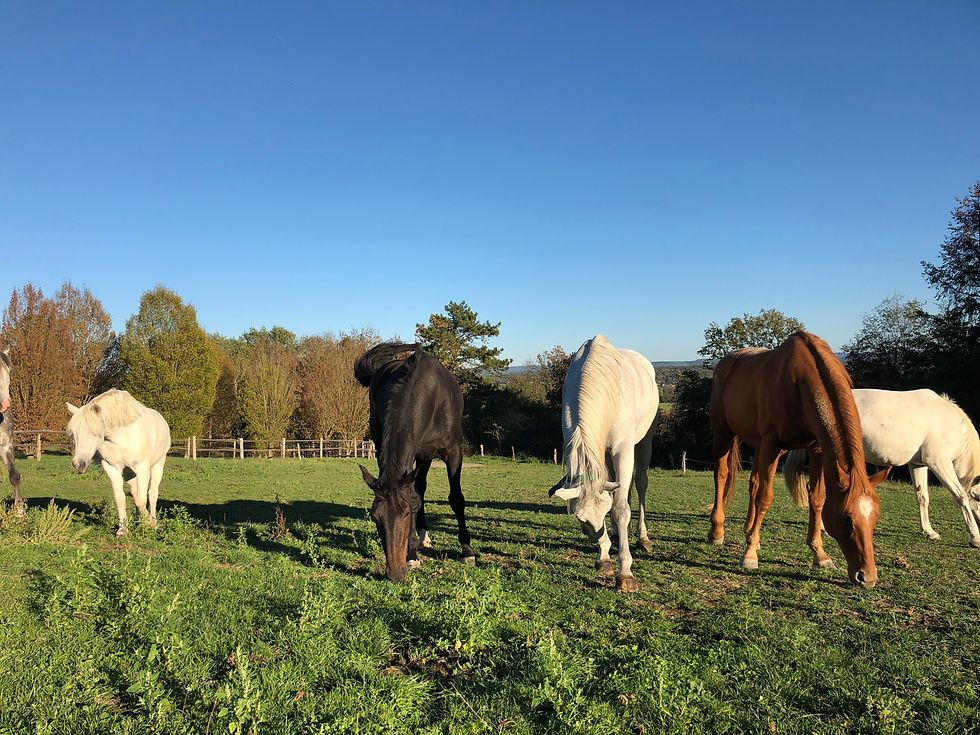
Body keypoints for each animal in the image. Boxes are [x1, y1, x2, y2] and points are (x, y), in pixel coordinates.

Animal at [66, 389, 171, 536]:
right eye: (73, 433)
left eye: (95, 433)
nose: (78, 464)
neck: (121, 435)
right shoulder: (112, 468)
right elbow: (121, 498)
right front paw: (123, 530)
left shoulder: (142, 468)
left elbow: (141, 499)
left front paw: (148, 523)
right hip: (128, 472)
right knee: (135, 492)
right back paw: (138, 522)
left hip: (158, 464)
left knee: (152, 493)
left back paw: (152, 522)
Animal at [354, 342, 474, 583]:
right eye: (375, 517)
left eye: (405, 514)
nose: (395, 573)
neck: (431, 395)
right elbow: (412, 496)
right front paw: (411, 555)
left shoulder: (454, 452)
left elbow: (456, 498)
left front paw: (467, 551)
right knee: (419, 491)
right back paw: (422, 538)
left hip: (426, 457)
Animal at [548, 335, 659, 593]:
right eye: (581, 518)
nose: (596, 539)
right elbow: (616, 499)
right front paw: (605, 558)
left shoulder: (623, 450)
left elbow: (621, 508)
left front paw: (625, 573)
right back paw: (619, 536)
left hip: (644, 442)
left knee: (640, 484)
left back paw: (642, 538)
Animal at [708, 331, 887, 587]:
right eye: (846, 518)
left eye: (875, 516)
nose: (867, 576)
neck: (798, 384)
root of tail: (726, 362)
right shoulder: (772, 445)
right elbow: (765, 498)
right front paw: (749, 555)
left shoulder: (816, 449)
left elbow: (817, 499)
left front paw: (820, 555)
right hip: (724, 434)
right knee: (721, 476)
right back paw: (717, 531)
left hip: (758, 445)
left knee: (753, 482)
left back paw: (749, 530)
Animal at [785, 388, 980, 547]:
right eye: (978, 498)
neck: (948, 421)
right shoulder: (939, 463)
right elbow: (961, 496)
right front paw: (974, 537)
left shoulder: (918, 465)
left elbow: (922, 497)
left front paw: (929, 532)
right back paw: (824, 529)